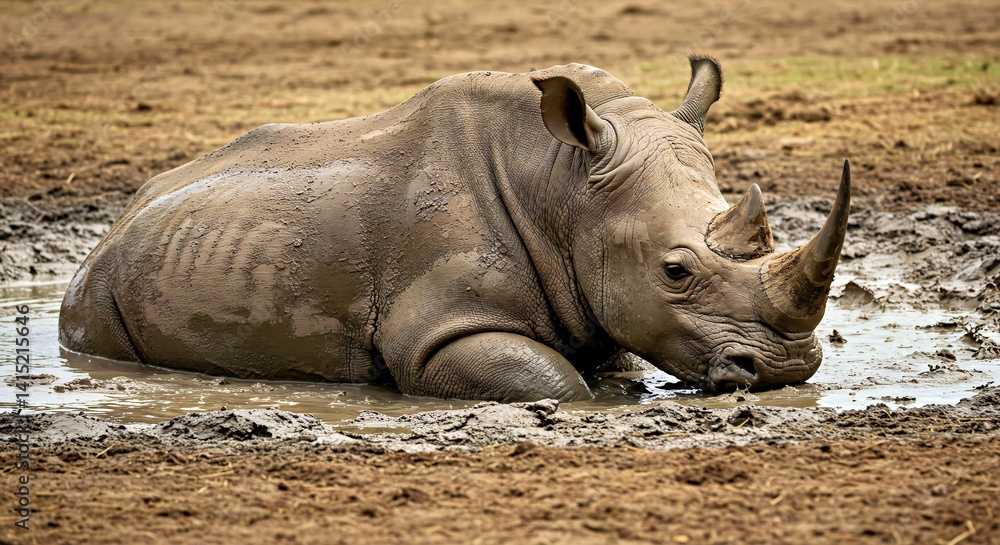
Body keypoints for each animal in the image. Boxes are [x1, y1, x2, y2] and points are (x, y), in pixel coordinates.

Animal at [59, 56, 850, 402]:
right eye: (675, 271)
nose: (785, 370)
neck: (565, 184)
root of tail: (119, 219)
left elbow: (610, 363)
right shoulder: (438, 329)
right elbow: (556, 384)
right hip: (97, 287)